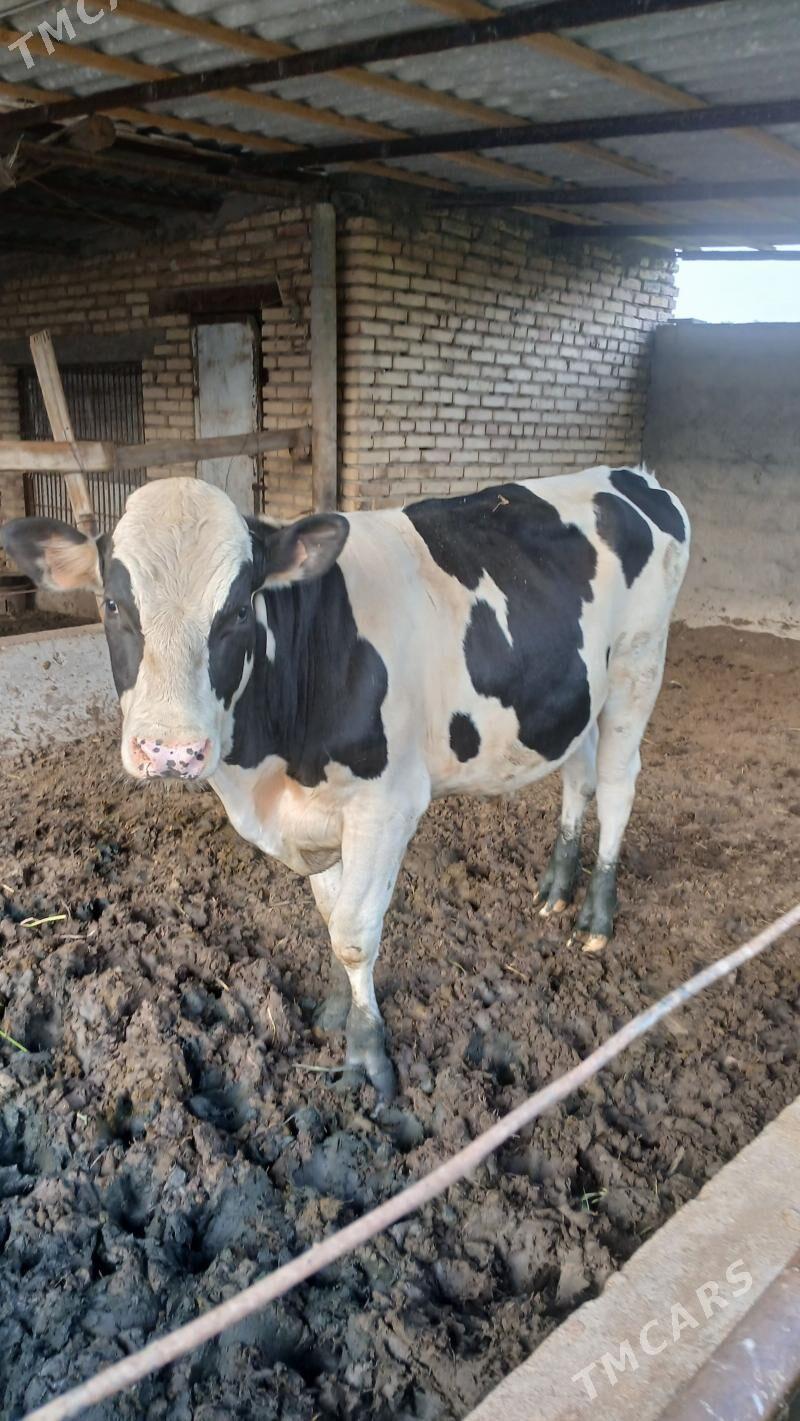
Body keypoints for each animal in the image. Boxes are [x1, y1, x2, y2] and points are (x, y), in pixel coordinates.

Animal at [1, 466, 689, 1097]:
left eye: (238, 609)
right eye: (113, 604)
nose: (170, 750)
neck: (271, 768)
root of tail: (632, 476)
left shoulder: (385, 806)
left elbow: (355, 933)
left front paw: (366, 1057)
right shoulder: (315, 813)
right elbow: (330, 918)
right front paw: (334, 1012)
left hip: (637, 668)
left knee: (618, 785)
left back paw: (595, 917)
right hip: (574, 696)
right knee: (579, 775)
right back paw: (555, 889)